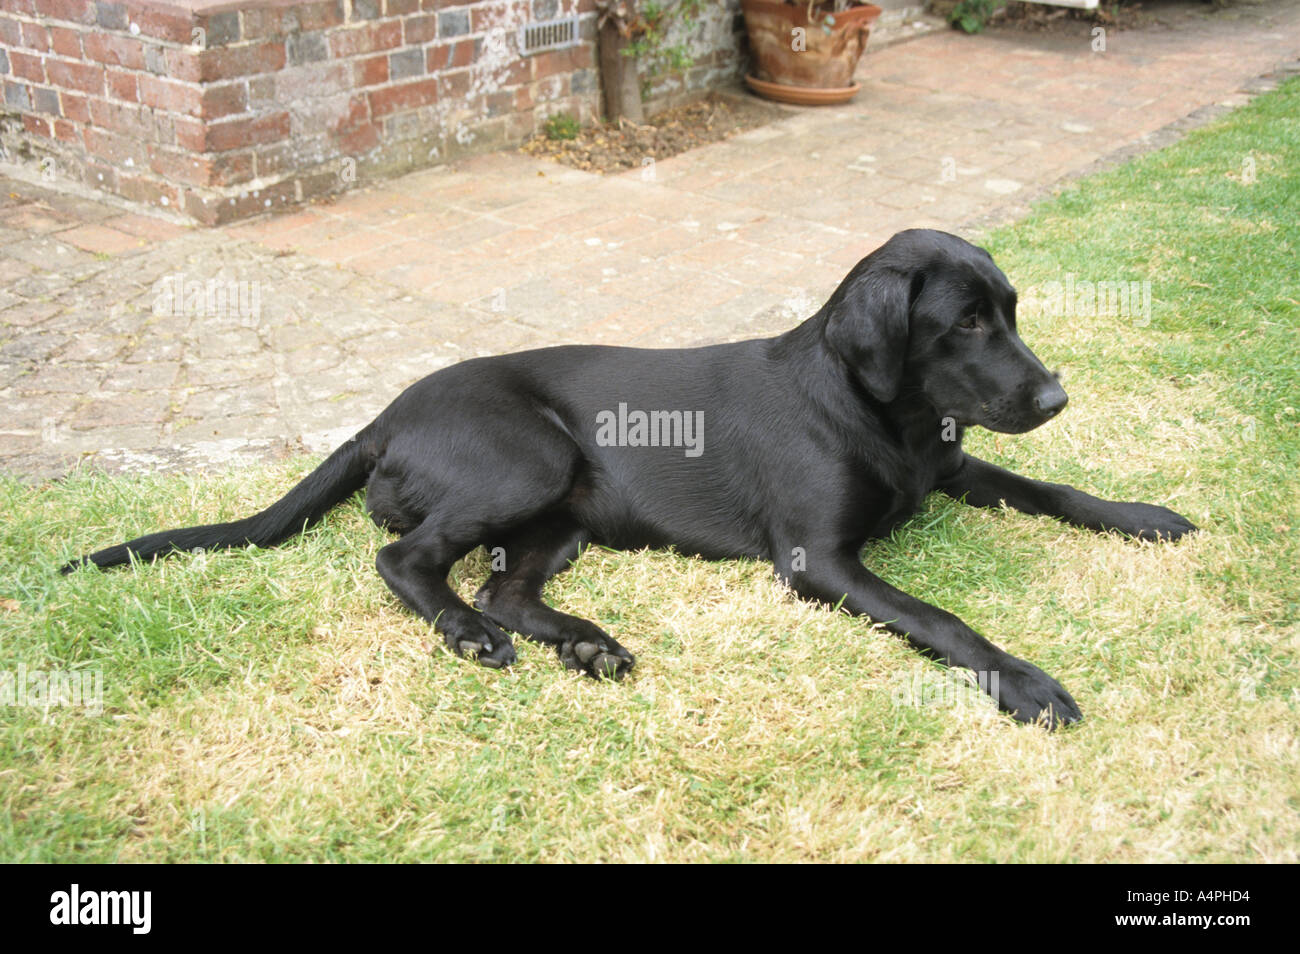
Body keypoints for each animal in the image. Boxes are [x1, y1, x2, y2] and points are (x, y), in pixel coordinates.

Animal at [65, 231, 1190, 733]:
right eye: (964, 322)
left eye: (1010, 312)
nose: (1054, 396)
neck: (883, 414)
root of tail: (382, 416)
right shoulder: (818, 561)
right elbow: (940, 617)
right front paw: (1025, 682)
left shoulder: (953, 468)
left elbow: (1054, 492)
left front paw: (1141, 513)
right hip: (531, 458)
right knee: (408, 561)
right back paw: (468, 635)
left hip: (564, 514)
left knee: (504, 587)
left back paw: (586, 645)